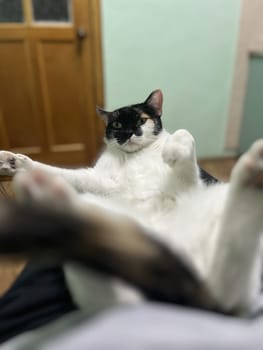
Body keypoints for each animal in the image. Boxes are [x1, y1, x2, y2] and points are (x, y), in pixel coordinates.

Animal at [0, 89, 263, 314]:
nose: (129, 133)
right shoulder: (99, 181)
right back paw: (48, 198)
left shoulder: (186, 185)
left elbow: (184, 138)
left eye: (142, 120)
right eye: (117, 125)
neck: (136, 156)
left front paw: (174, 147)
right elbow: (65, 173)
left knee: (226, 294)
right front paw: (14, 163)